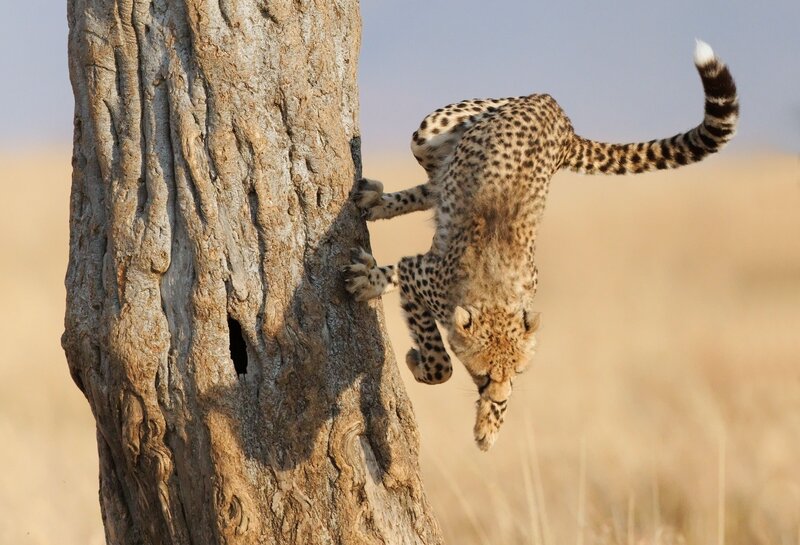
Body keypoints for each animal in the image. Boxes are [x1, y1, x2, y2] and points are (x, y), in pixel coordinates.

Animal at [344, 41, 738, 451]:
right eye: (484, 374)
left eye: (516, 372)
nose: (500, 396)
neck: (495, 295)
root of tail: (559, 114)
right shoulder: (420, 275)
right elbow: (440, 362)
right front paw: (412, 349)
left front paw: (489, 425)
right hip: (432, 128)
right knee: (434, 179)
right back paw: (378, 203)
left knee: (436, 185)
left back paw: (377, 204)